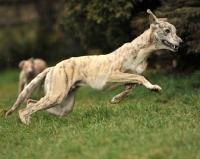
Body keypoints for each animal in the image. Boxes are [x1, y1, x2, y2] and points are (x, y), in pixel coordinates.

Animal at [5, 9, 183, 124]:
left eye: (175, 30)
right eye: (167, 30)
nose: (181, 42)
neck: (140, 50)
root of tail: (53, 67)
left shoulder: (128, 81)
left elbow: (131, 85)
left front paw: (117, 99)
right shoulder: (113, 74)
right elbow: (139, 77)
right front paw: (153, 87)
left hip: (63, 105)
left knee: (30, 103)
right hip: (57, 95)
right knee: (24, 109)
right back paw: (26, 124)